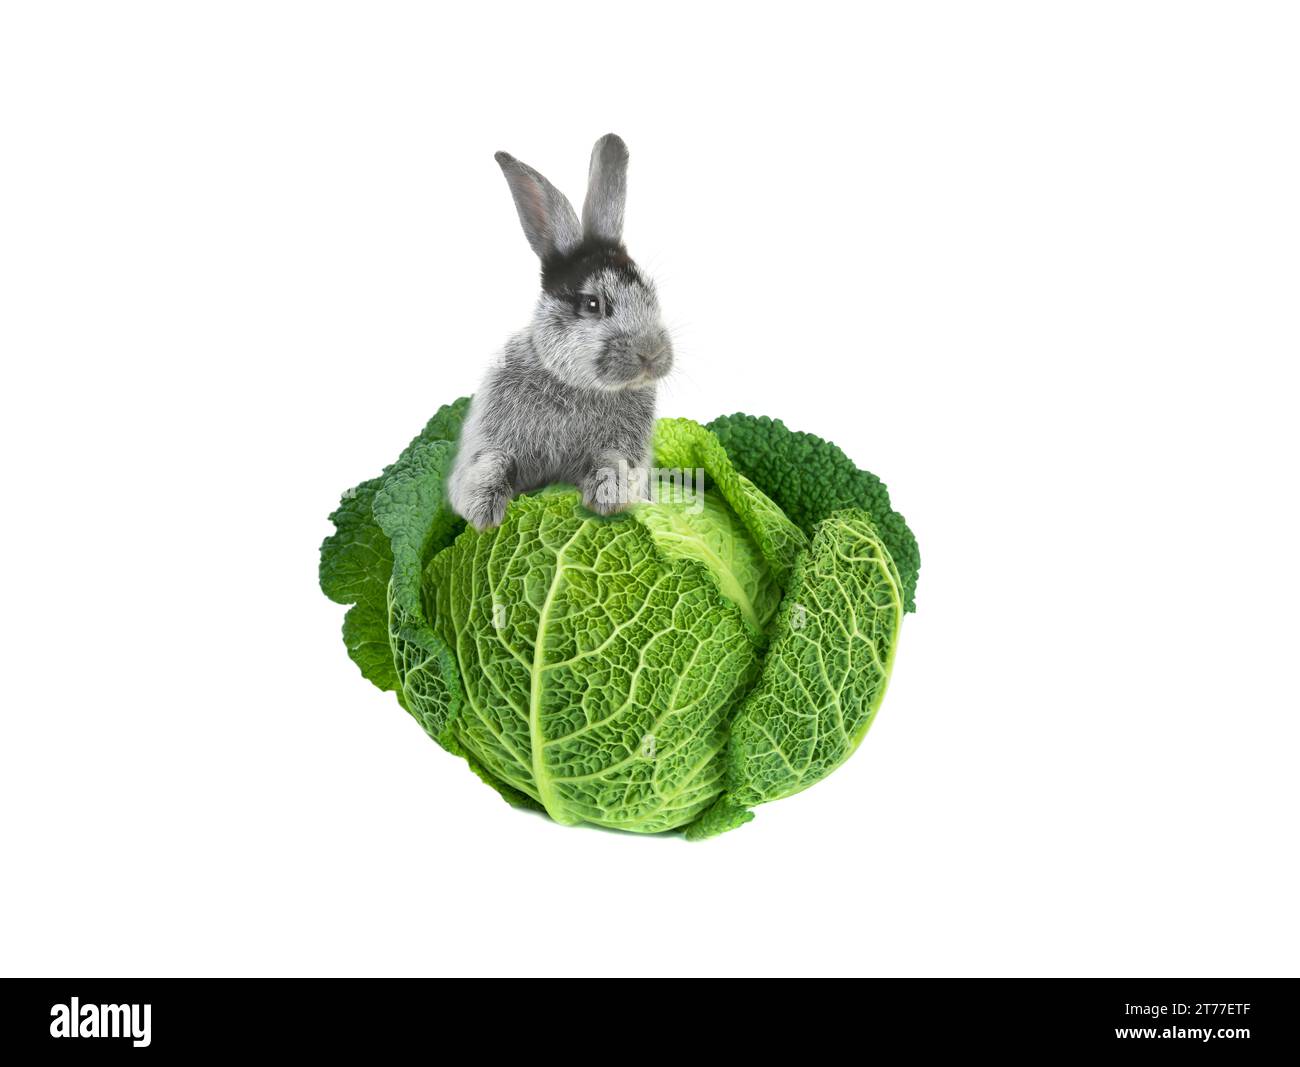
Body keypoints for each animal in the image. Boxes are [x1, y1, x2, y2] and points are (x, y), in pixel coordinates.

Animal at [447, 133, 674, 531]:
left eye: (651, 294)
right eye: (593, 304)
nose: (652, 354)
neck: (576, 384)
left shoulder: (627, 446)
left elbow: (616, 461)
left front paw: (608, 499)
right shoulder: (491, 435)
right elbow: (491, 461)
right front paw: (482, 512)